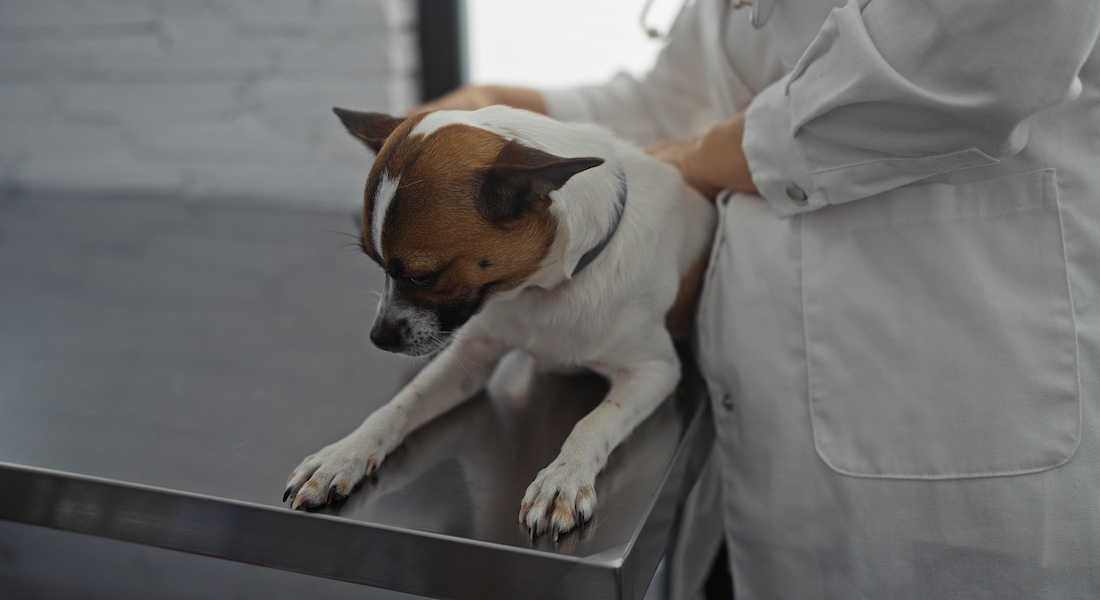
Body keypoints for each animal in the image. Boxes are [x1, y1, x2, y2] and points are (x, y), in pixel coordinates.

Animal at [283, 104, 717, 537]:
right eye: (376, 263)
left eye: (424, 277)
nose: (379, 338)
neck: (541, 291)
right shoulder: (472, 361)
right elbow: (399, 406)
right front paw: (343, 454)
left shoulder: (653, 371)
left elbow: (593, 421)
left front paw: (562, 479)